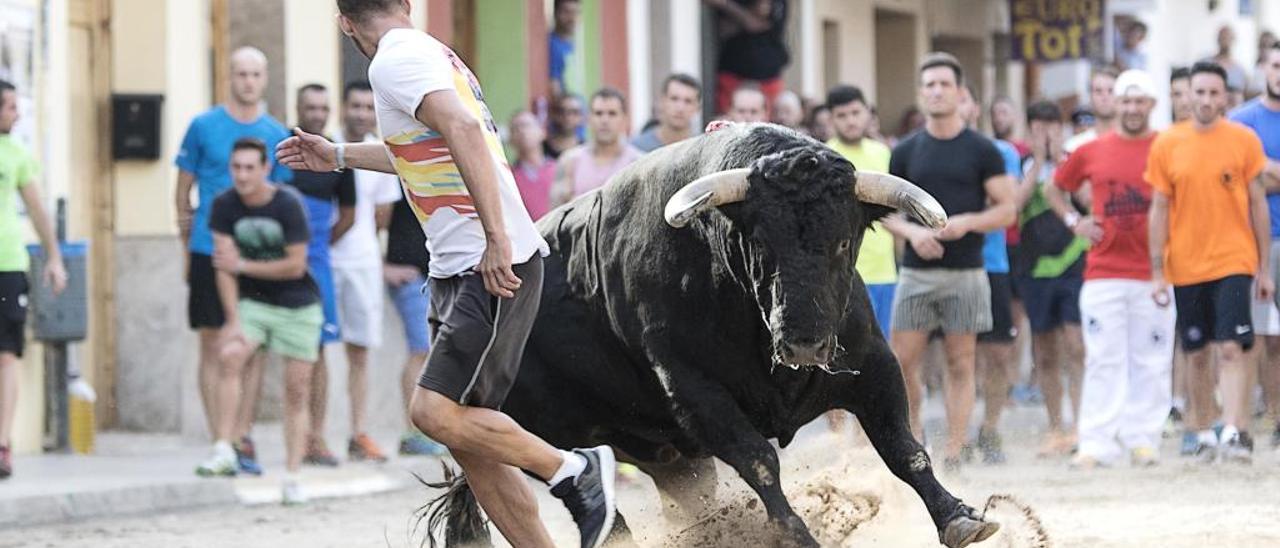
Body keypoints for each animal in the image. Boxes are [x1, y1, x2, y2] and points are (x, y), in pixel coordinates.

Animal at [430, 124, 998, 548]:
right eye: (761, 243)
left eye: (843, 242)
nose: (804, 344)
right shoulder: (693, 389)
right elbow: (759, 459)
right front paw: (795, 535)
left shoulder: (873, 364)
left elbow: (905, 447)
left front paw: (960, 516)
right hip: (509, 423)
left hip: (668, 456)